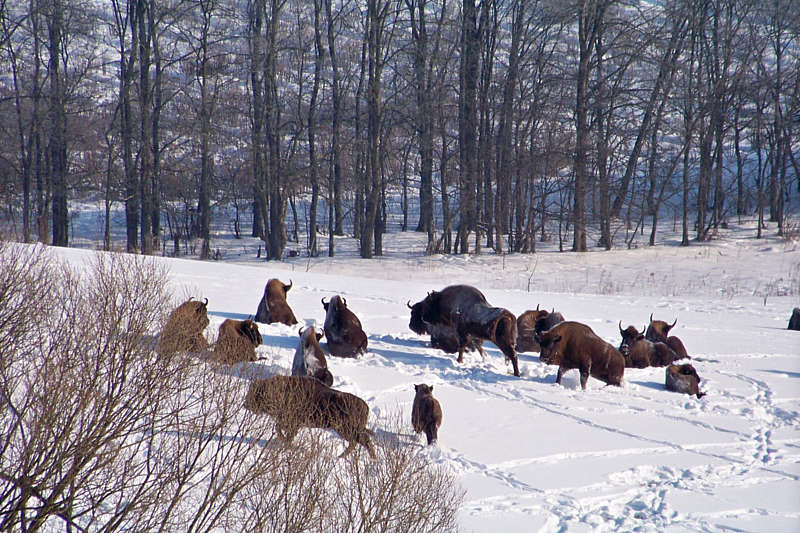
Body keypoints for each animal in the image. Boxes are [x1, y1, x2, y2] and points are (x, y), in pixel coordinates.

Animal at [242, 374, 376, 458]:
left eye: (257, 393)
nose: (245, 404)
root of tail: (365, 407)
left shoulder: (293, 423)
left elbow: (284, 431)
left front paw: (284, 442)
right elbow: (278, 427)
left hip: (346, 430)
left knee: (364, 441)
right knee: (357, 442)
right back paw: (342, 456)